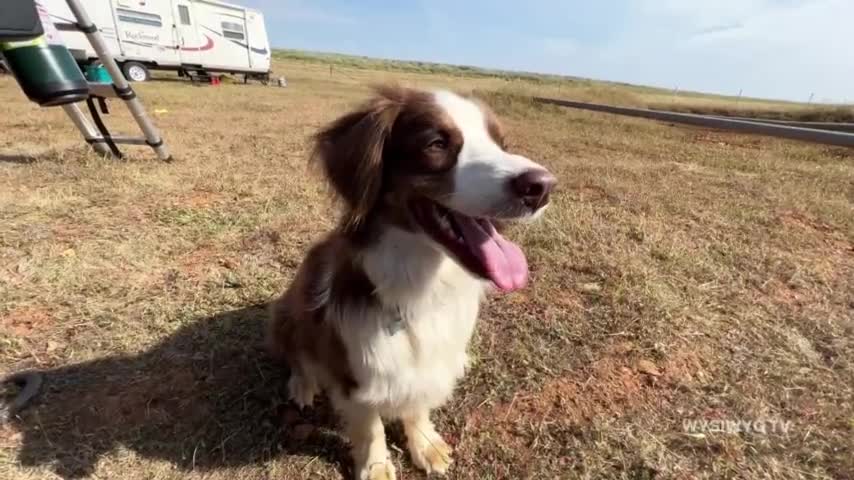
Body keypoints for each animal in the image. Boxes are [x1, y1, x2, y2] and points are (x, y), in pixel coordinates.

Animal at [270, 86, 560, 480]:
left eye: (501, 143)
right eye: (436, 144)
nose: (542, 187)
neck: (424, 283)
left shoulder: (427, 361)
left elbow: (417, 403)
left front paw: (424, 444)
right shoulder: (351, 369)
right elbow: (370, 426)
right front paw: (376, 466)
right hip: (287, 312)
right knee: (298, 356)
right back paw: (303, 385)